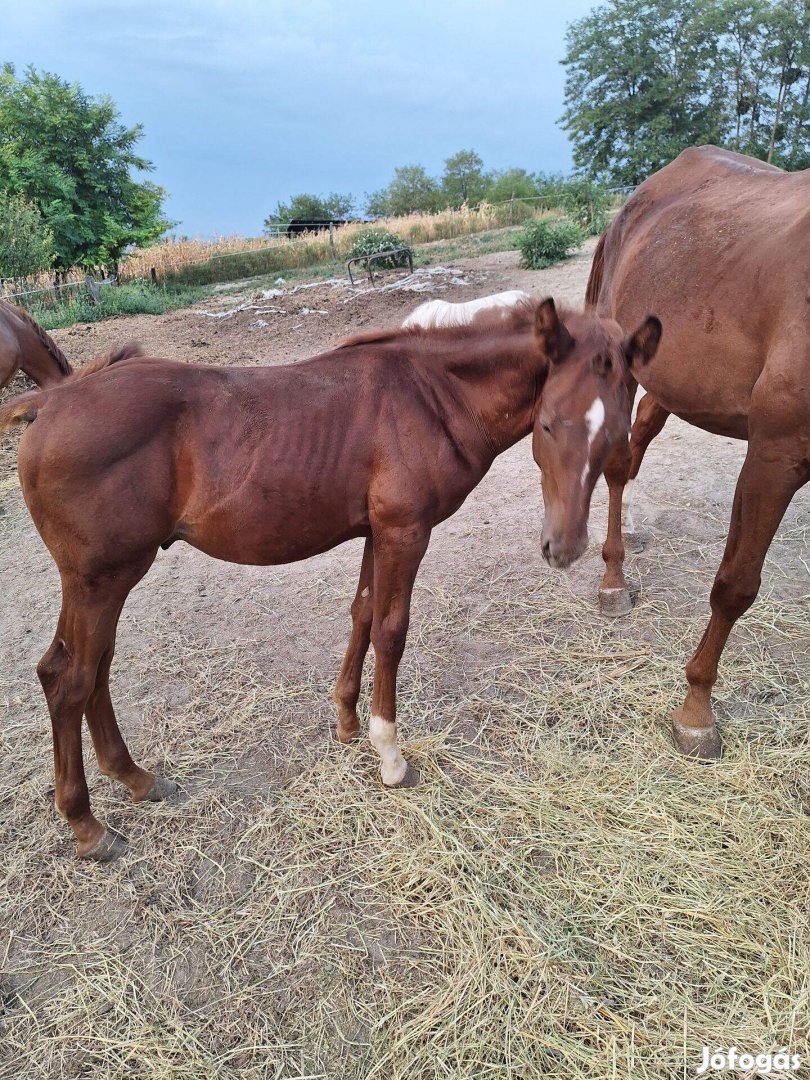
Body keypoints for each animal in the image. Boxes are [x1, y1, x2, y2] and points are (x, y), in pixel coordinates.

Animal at [0, 295, 660, 859]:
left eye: (615, 431)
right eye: (548, 424)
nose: (565, 548)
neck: (430, 394)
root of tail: (51, 403)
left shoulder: (376, 532)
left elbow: (362, 612)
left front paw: (345, 721)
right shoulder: (404, 532)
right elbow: (392, 629)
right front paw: (389, 753)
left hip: (105, 581)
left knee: (94, 668)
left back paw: (136, 779)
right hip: (101, 578)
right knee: (69, 678)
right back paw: (88, 826)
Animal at [587, 145, 810, 760]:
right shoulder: (777, 454)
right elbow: (735, 585)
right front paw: (695, 711)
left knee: (635, 448)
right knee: (617, 463)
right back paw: (613, 578)